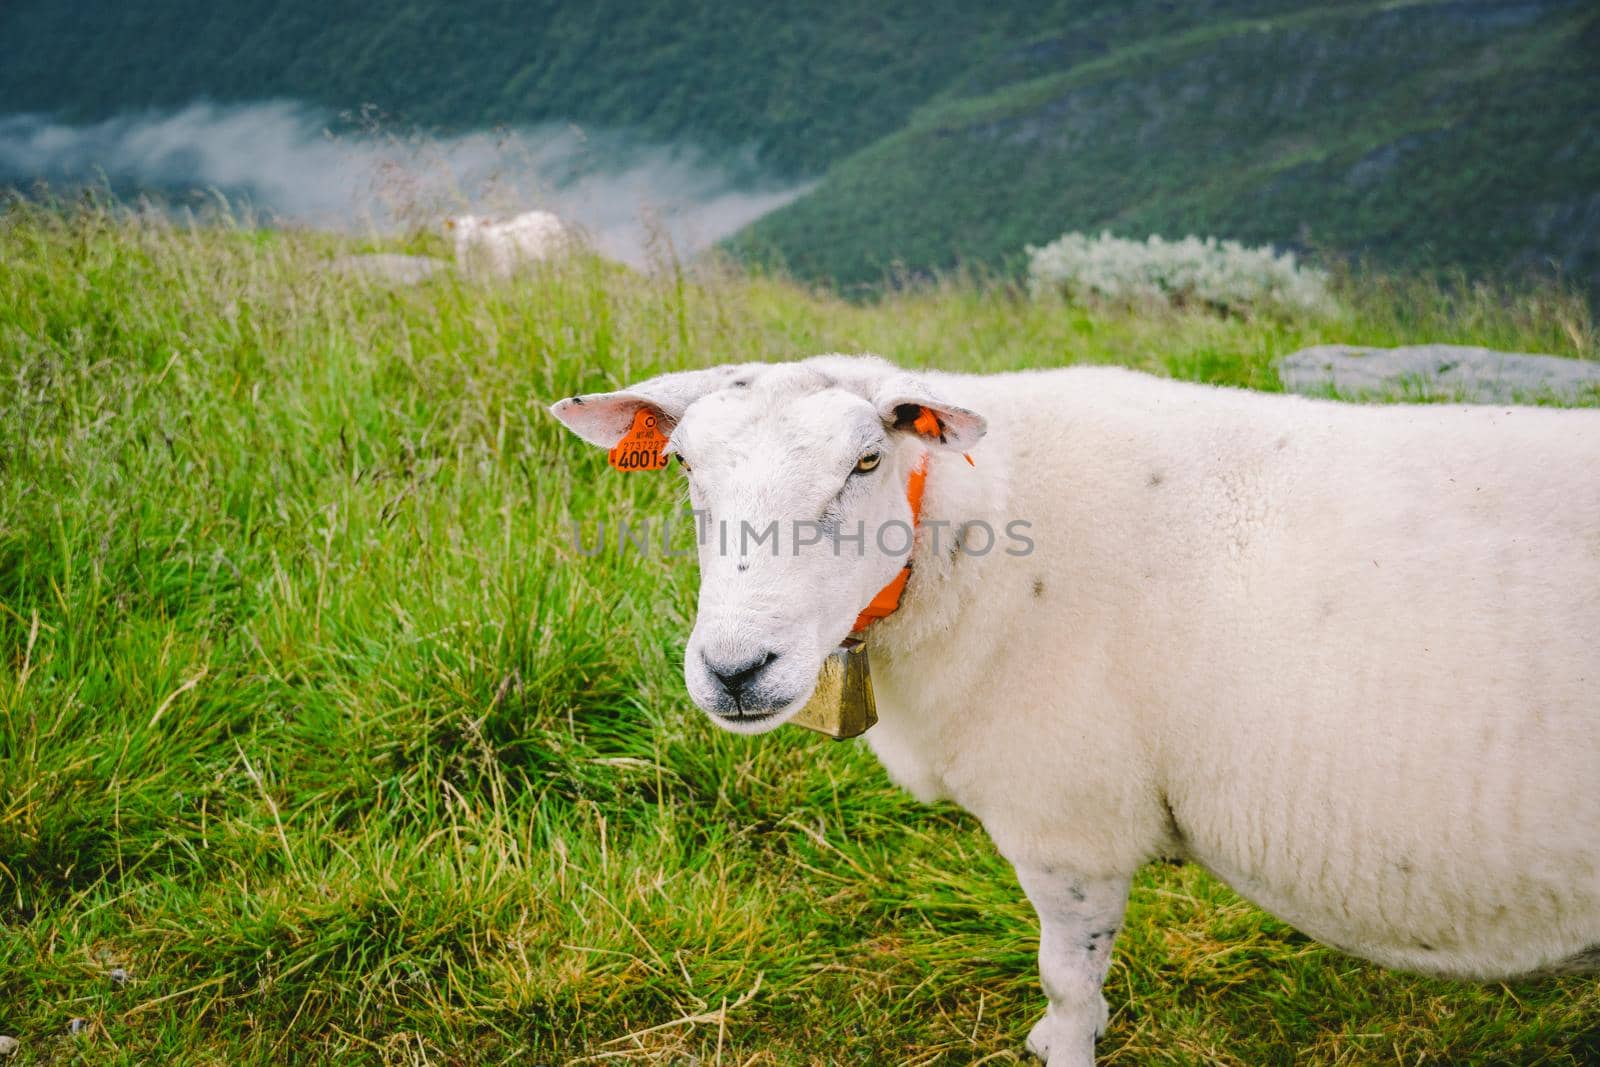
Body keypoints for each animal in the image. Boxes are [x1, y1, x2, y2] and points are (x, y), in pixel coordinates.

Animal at [553, 356, 1600, 1062]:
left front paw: (1062, 1043)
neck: (968, 532)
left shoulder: (1068, 822)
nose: (735, 669)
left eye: (866, 461)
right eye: (685, 467)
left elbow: (1067, 978)